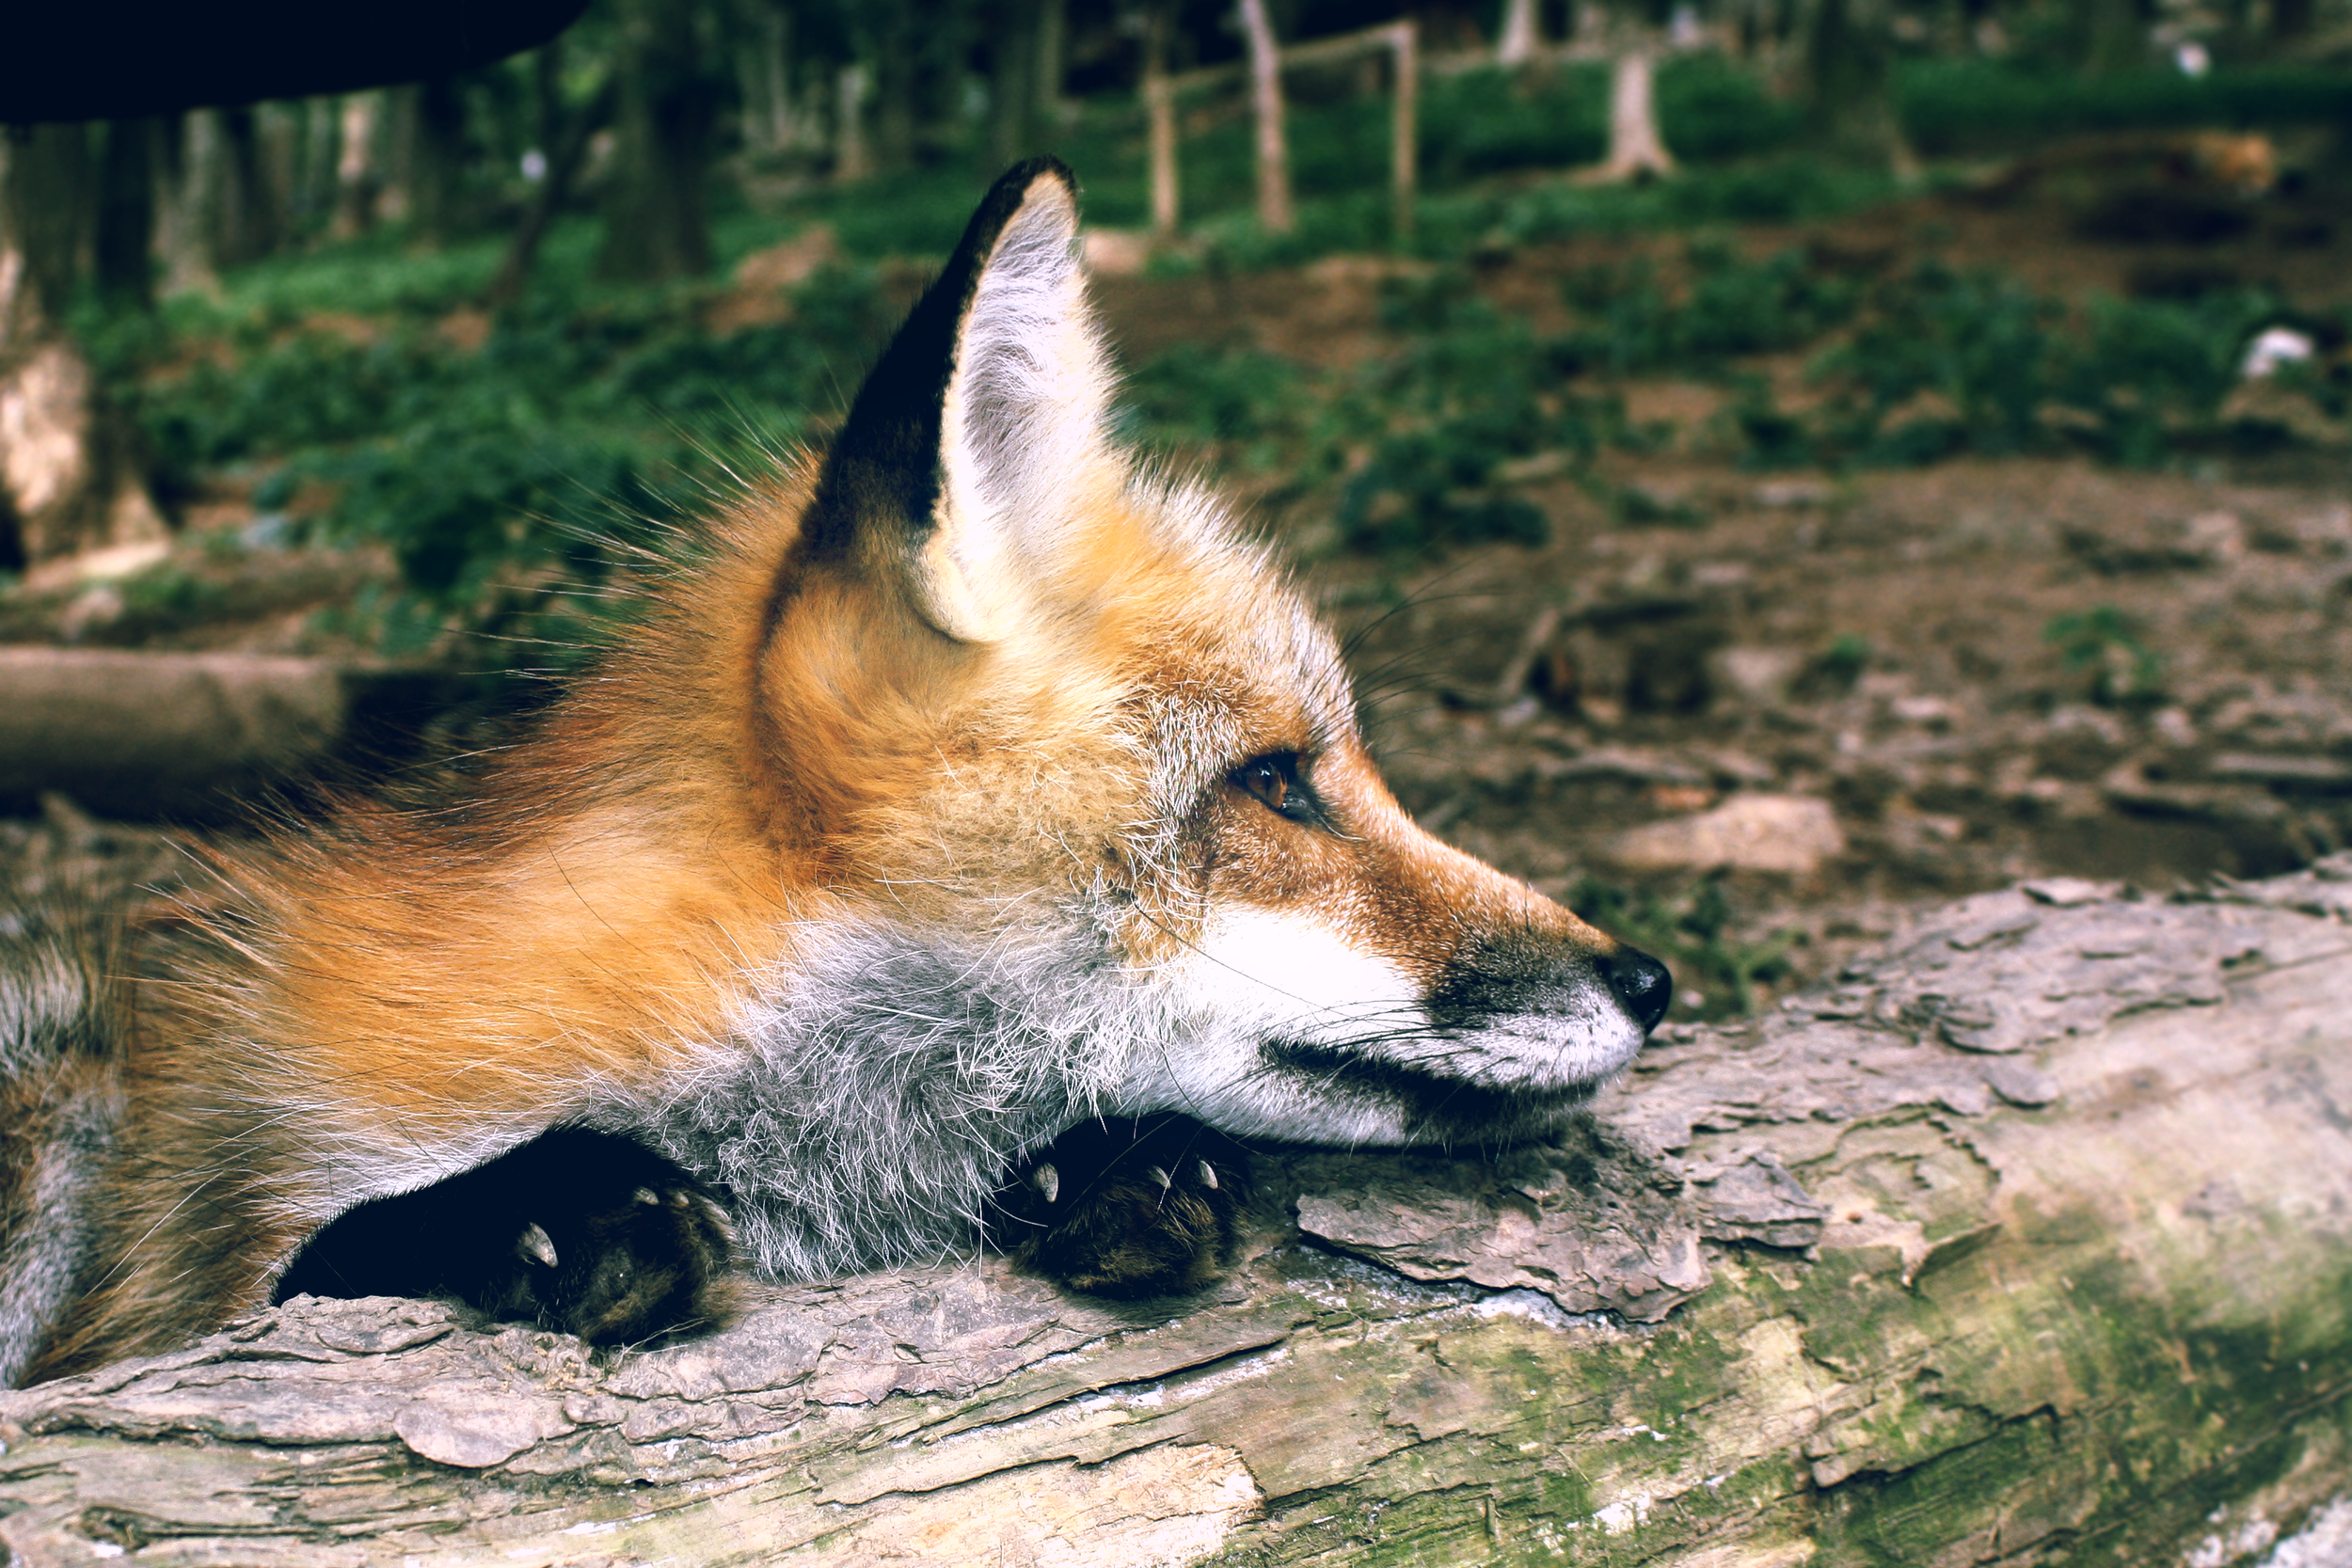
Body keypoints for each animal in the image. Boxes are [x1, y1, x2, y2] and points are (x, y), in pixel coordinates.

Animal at [0, 159, 1670, 1388]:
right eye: (1275, 781)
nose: (1653, 980)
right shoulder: (179, 1259)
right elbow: (311, 1259)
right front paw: (532, 1209)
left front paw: (1112, 1169)